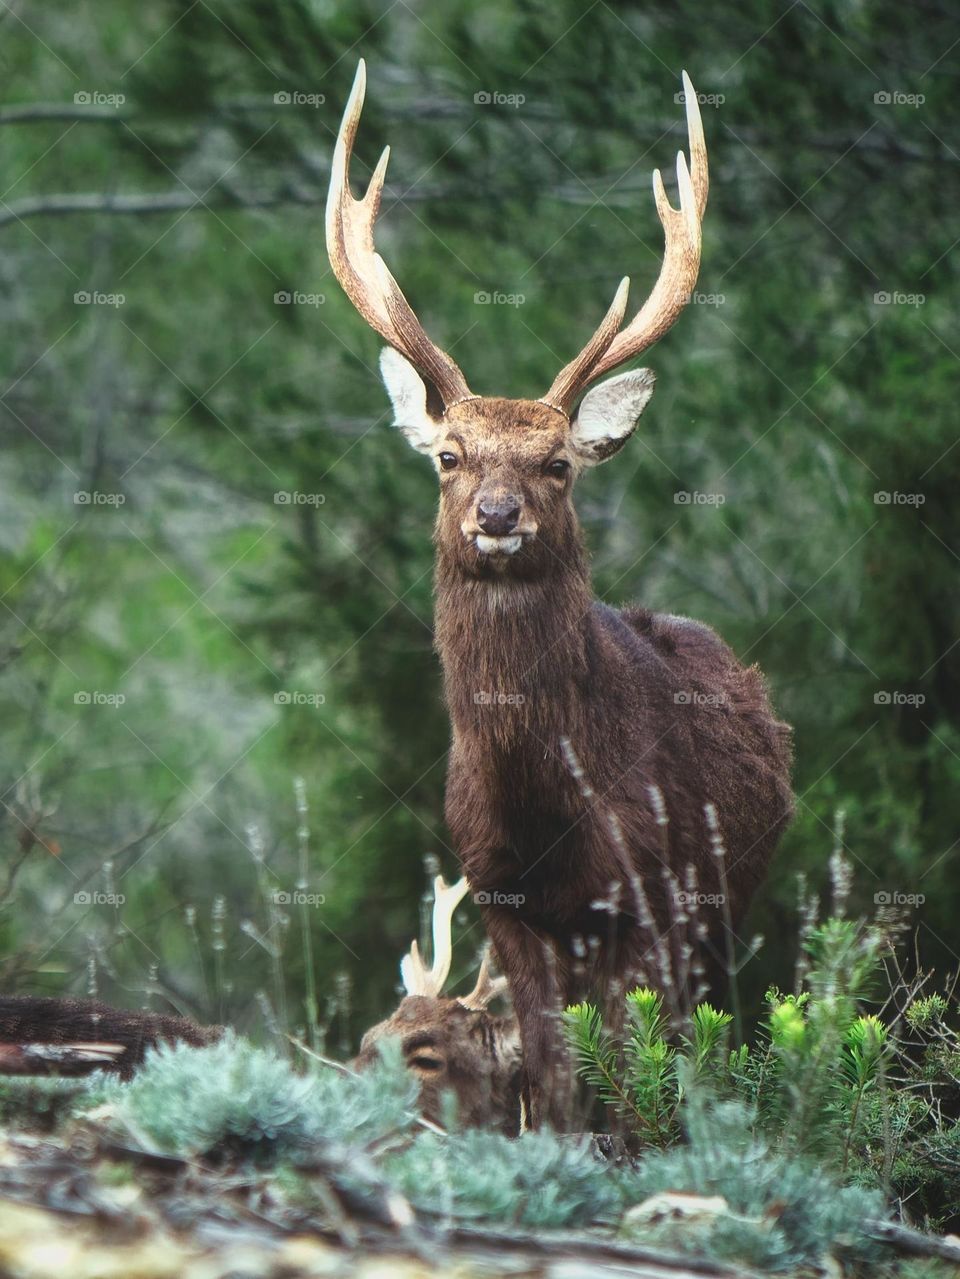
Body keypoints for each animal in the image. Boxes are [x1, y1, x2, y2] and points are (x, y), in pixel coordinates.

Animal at [326, 61, 795, 1129]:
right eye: (449, 455)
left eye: (558, 464)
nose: (497, 515)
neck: (543, 805)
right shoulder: (503, 898)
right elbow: (546, 1068)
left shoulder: (647, 897)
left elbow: (625, 1073)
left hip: (723, 906)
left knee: (692, 1046)